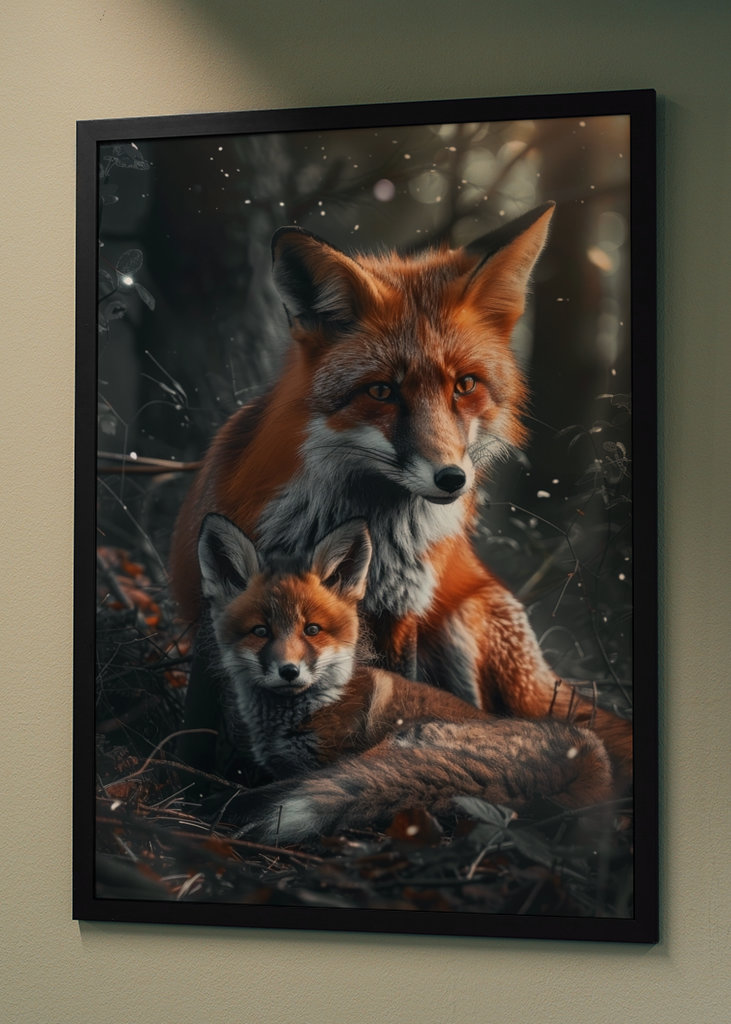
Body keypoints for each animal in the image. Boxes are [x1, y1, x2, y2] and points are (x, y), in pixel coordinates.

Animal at [170, 201, 633, 787]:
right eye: (382, 391)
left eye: (465, 385)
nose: (452, 479)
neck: (368, 524)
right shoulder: (214, 610)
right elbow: (195, 729)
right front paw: (186, 787)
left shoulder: (402, 614)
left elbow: (400, 696)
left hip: (463, 621)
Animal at [197, 512, 614, 843]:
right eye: (260, 631)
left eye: (312, 630)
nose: (289, 671)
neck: (315, 704)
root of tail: (587, 761)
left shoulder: (328, 761)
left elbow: (300, 781)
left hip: (396, 745)